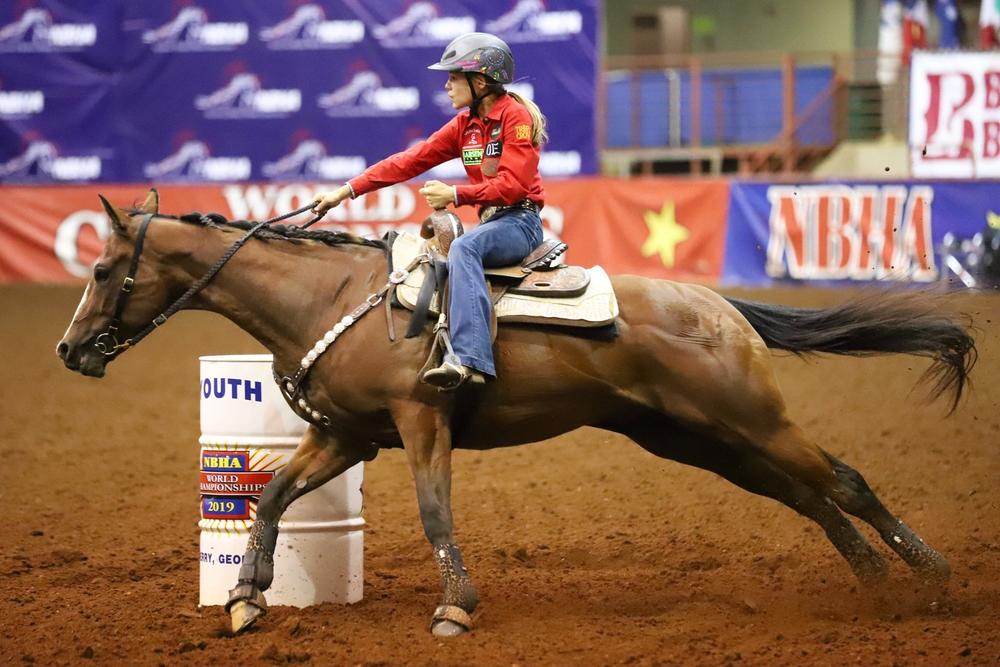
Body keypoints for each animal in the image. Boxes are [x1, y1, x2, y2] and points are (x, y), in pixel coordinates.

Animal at [56, 192, 976, 636]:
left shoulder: (421, 422)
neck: (331, 295)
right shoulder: (346, 434)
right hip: (696, 437)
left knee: (844, 480)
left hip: (746, 416)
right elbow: (272, 496)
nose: (68, 350)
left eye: (102, 268)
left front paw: (456, 605)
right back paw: (875, 581)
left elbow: (435, 510)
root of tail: (719, 304)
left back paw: (931, 576)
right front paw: (246, 596)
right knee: (808, 494)